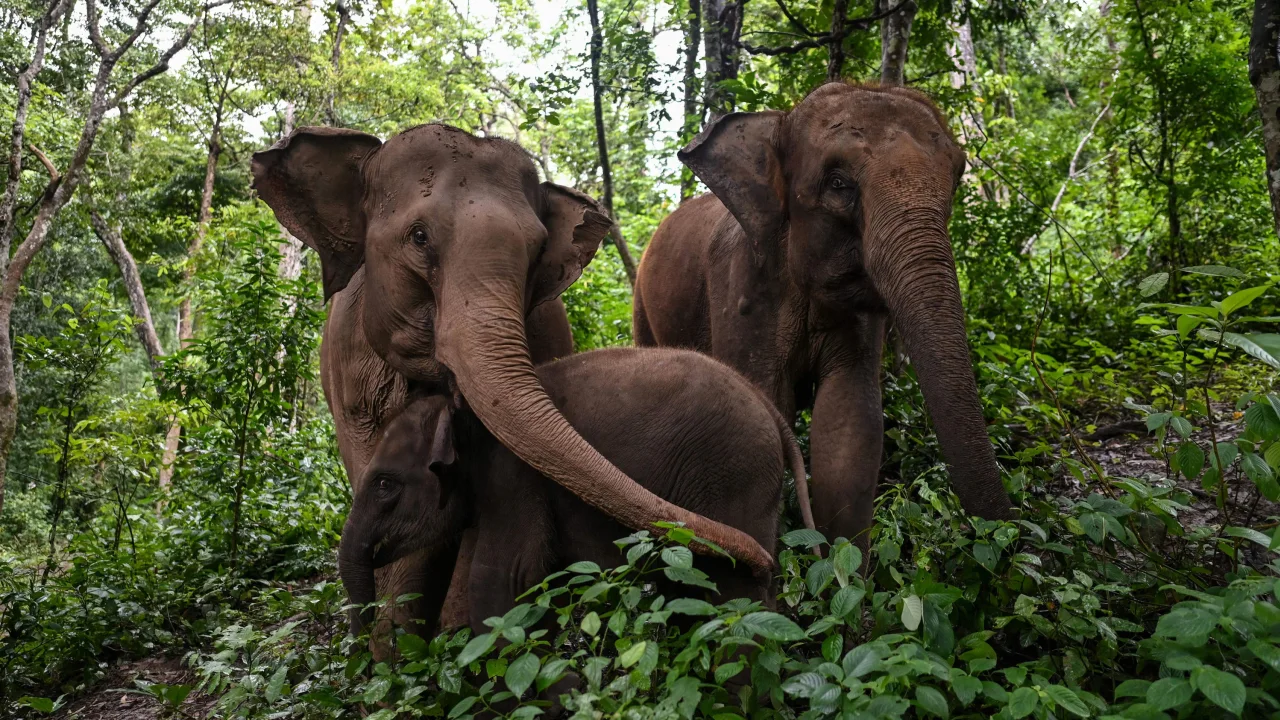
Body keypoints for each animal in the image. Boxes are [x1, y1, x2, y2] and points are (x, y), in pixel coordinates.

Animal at [340, 345, 814, 632]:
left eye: (385, 484)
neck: (464, 411)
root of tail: (770, 409)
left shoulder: (514, 478)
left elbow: (504, 580)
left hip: (733, 474)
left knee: (735, 593)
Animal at [634, 82, 1013, 543]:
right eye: (837, 183)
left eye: (957, 178)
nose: (1008, 532)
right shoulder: (741, 287)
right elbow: (765, 402)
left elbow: (851, 419)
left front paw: (841, 559)